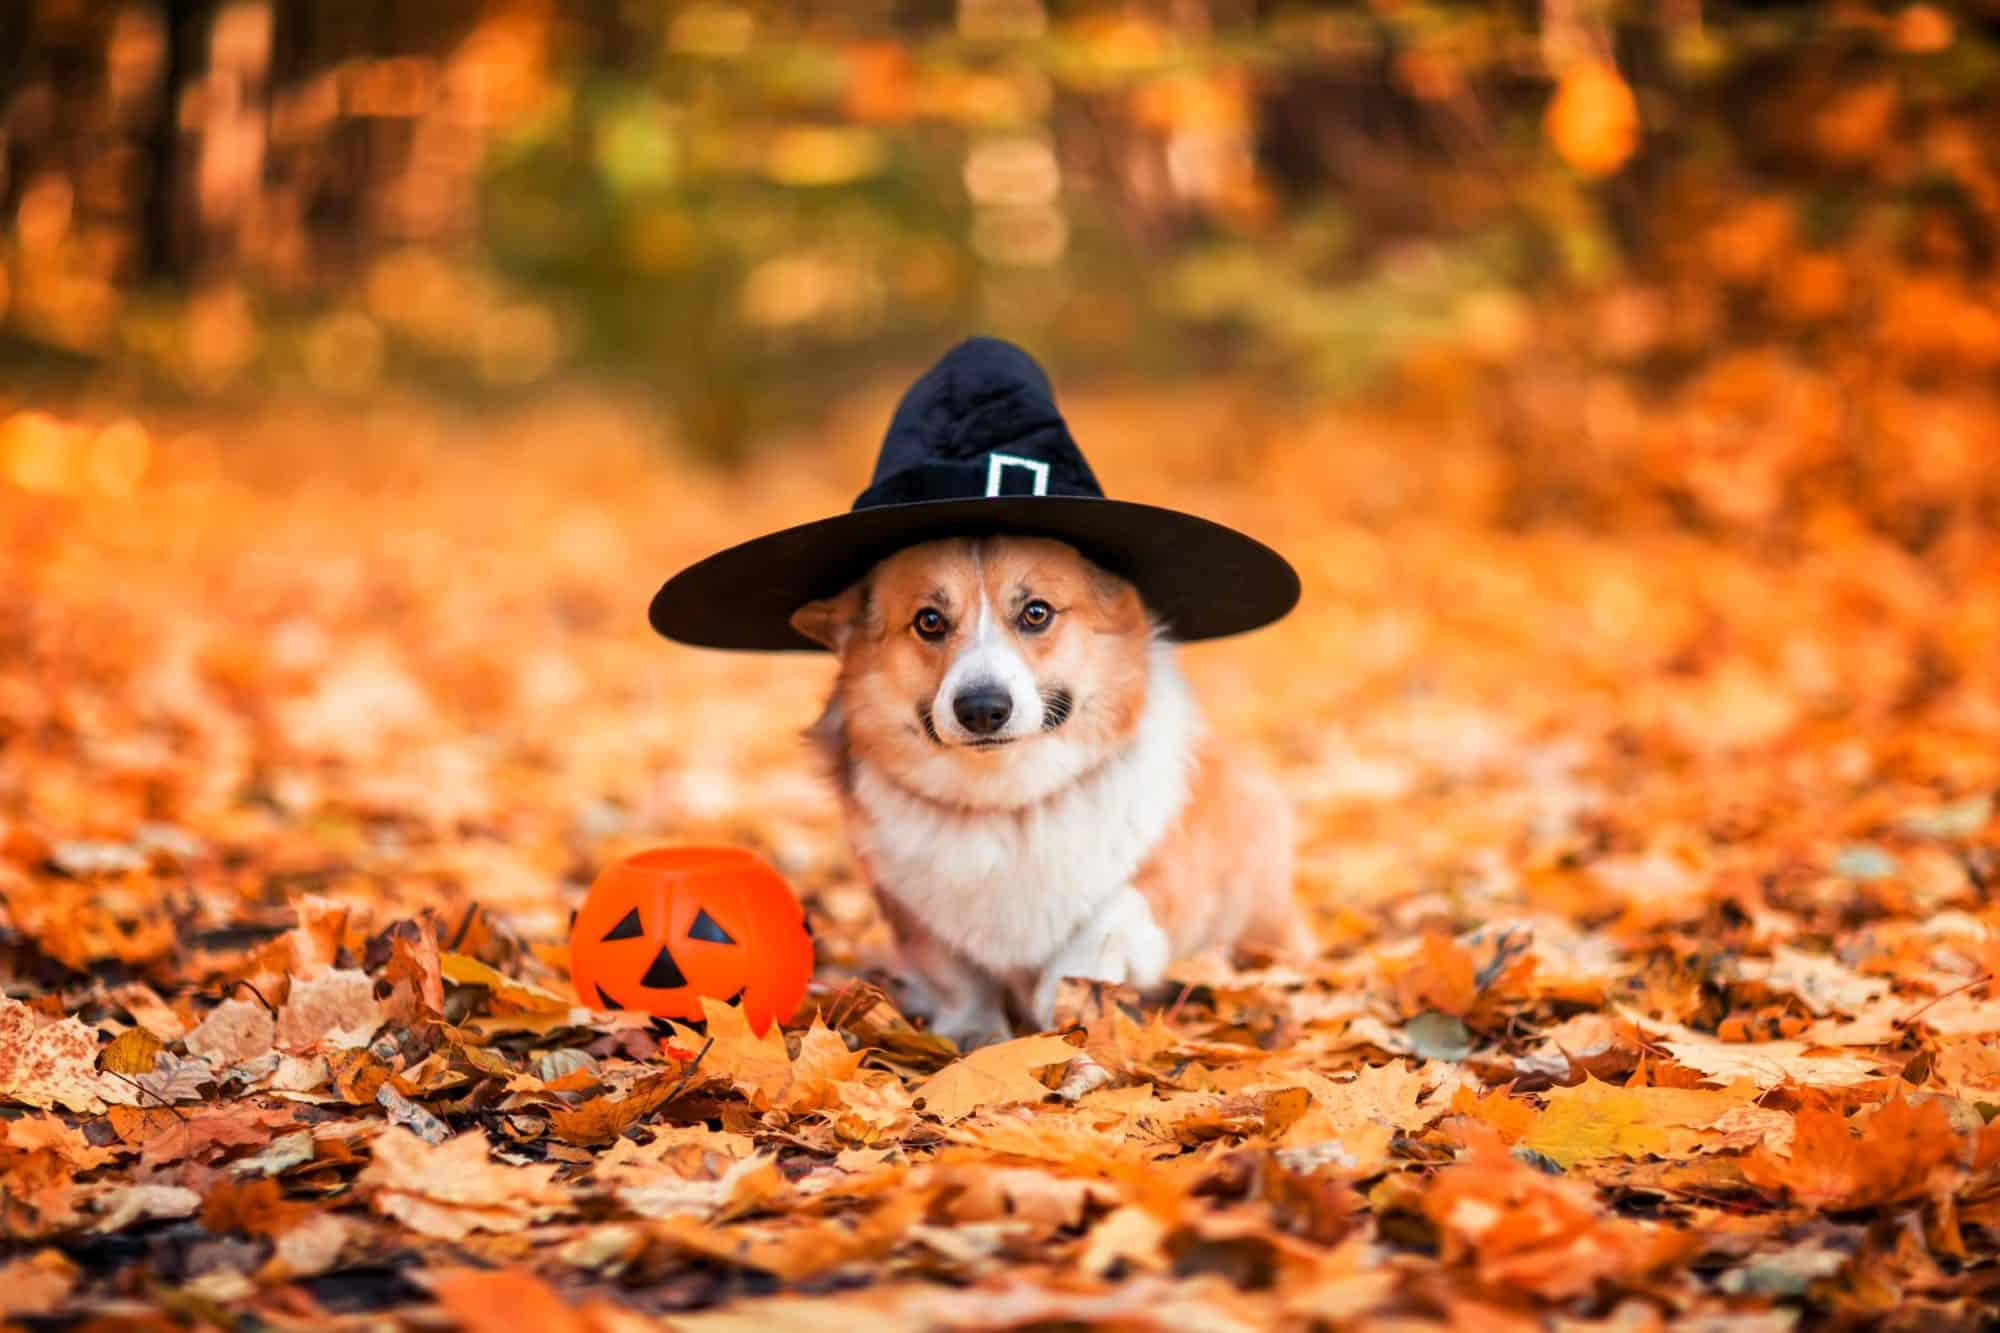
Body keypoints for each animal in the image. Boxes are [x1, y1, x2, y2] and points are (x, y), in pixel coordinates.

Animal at [788, 536, 1304, 1040]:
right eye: (929, 621)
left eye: (1036, 612)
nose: (982, 709)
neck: (1007, 798)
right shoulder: (914, 915)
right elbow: (957, 977)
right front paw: (973, 1033)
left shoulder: (1173, 875)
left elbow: (1114, 914)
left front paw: (1066, 997)